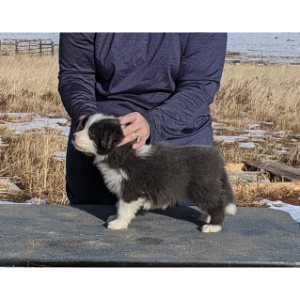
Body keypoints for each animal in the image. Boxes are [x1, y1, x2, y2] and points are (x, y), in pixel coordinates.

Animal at [72, 113, 237, 233]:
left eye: (92, 132)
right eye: (84, 126)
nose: (73, 136)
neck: (121, 153)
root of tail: (217, 159)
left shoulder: (131, 189)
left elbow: (124, 207)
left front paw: (118, 223)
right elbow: (119, 204)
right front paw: (114, 216)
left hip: (202, 187)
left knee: (217, 204)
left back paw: (213, 226)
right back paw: (206, 217)